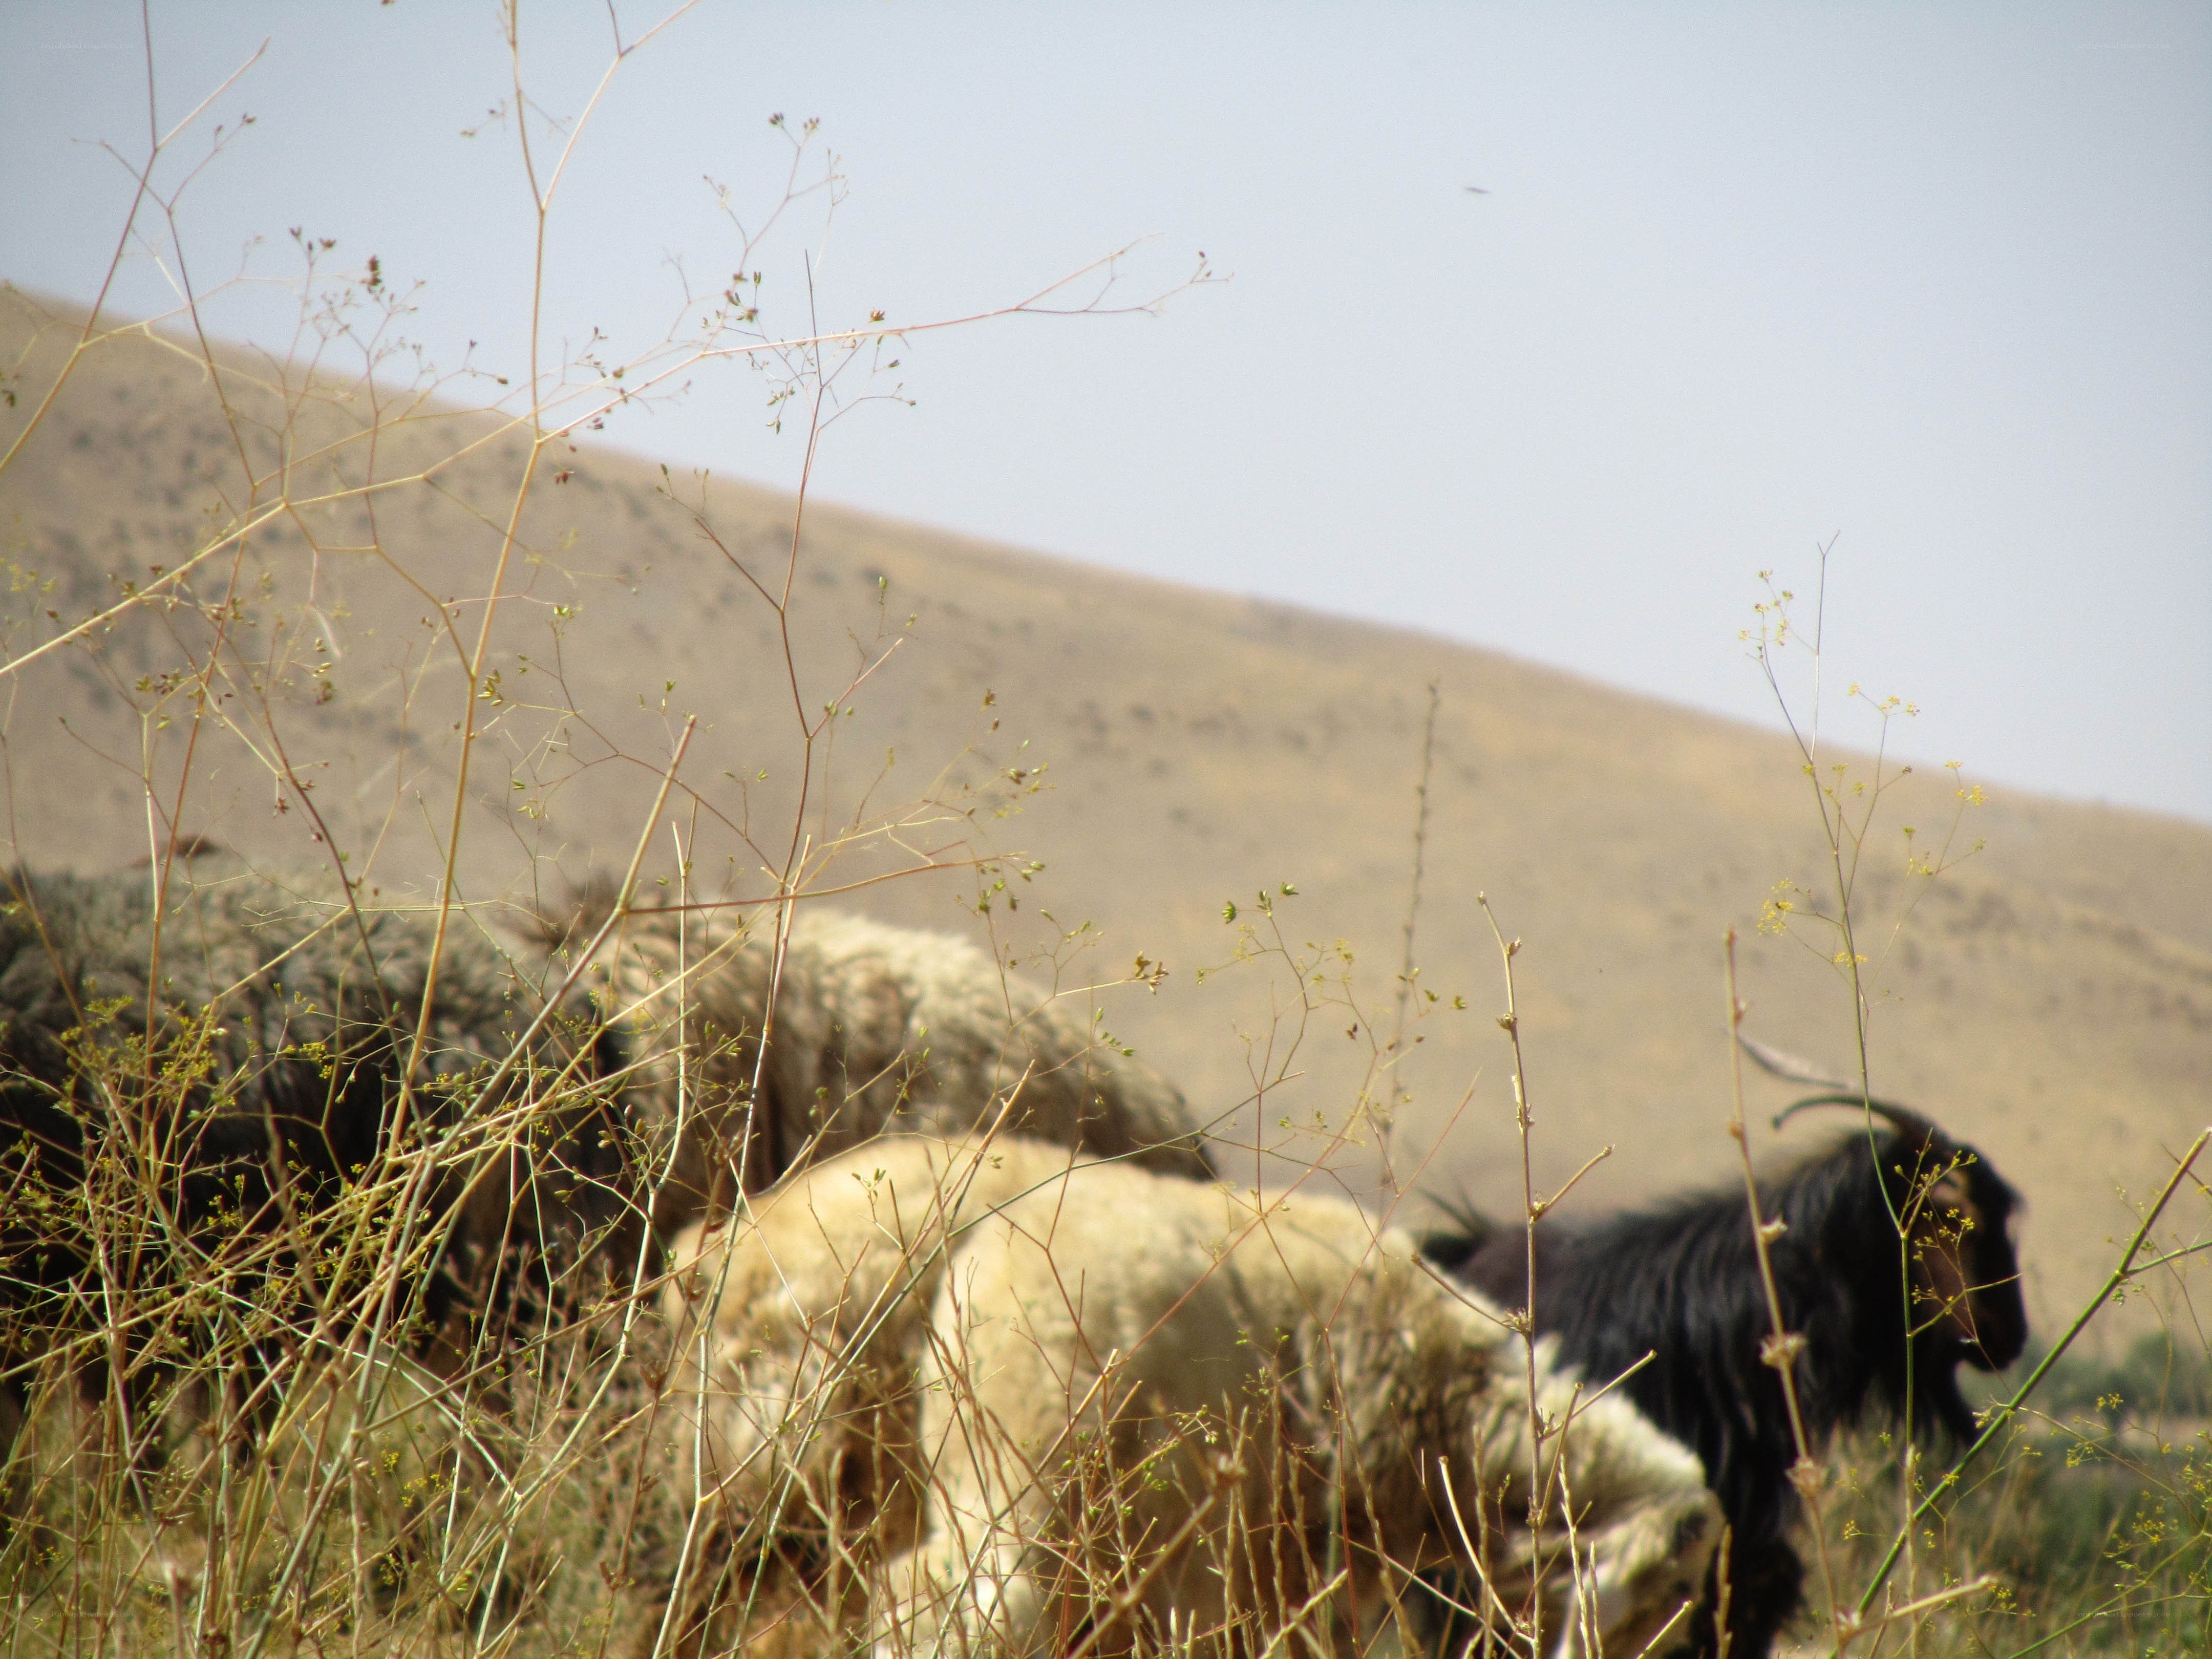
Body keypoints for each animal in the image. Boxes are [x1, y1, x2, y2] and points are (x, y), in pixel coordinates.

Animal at [654, 1133, 1722, 1659]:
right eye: (1665, 1608)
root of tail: (742, 1257)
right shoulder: (1259, 1566)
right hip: (1022, 1467)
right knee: (947, 1609)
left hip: (751, 1489)